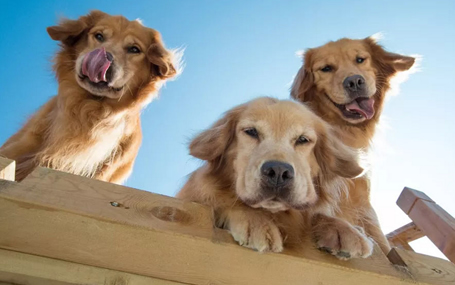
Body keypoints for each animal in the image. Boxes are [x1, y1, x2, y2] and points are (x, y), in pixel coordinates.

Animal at [177, 97, 374, 258]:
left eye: (303, 139)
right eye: (251, 132)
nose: (278, 172)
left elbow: (315, 214)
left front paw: (344, 230)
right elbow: (227, 201)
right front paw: (256, 222)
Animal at [292, 36, 416, 253]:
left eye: (360, 59)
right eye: (326, 68)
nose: (354, 82)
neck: (343, 132)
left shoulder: (362, 201)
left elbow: (382, 241)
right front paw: (340, 229)